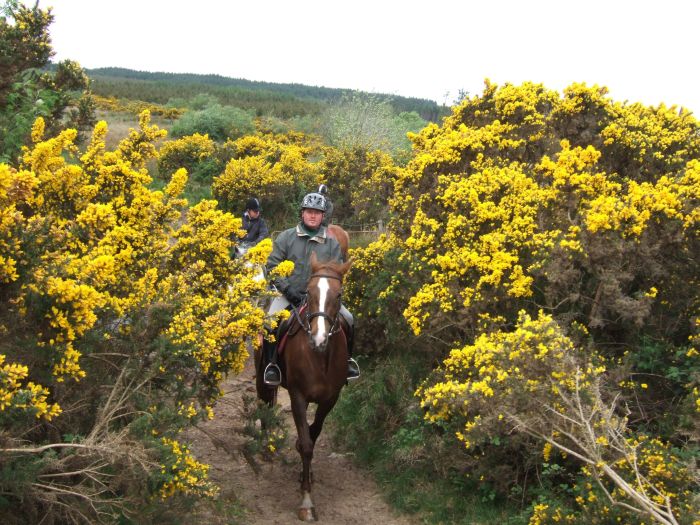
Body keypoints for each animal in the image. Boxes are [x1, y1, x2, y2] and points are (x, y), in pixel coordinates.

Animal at [256, 251, 352, 520]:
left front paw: (304, 475)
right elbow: (308, 445)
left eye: (338, 294)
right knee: (264, 408)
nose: (318, 338)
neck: (319, 356)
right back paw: (264, 448)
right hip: (262, 380)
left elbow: (313, 434)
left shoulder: (330, 398)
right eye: (308, 292)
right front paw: (307, 502)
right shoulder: (298, 397)